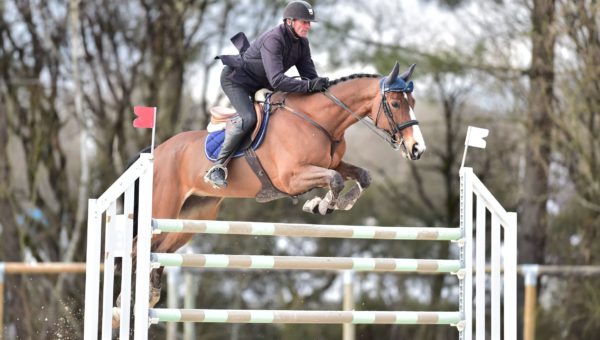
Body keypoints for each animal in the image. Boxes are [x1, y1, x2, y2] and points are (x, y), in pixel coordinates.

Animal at [111, 61, 426, 326]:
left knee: (160, 249)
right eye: (395, 103)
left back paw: (150, 296)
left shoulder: (332, 163)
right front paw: (320, 204)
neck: (317, 120)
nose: (417, 150)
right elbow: (334, 180)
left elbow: (361, 176)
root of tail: (156, 151)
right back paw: (122, 305)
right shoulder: (291, 177)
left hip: (193, 215)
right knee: (137, 247)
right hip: (162, 208)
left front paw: (338, 202)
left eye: (413, 103)